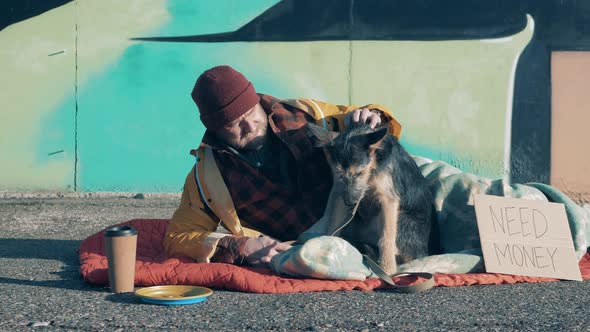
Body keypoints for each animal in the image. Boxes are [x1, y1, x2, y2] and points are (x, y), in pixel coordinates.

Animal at [310, 123, 434, 274]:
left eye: (359, 173)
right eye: (339, 175)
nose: (350, 202)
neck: (374, 163)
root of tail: (424, 252)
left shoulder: (388, 199)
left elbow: (387, 237)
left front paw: (387, 268)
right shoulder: (340, 193)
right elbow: (334, 223)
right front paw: (327, 241)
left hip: (403, 219)